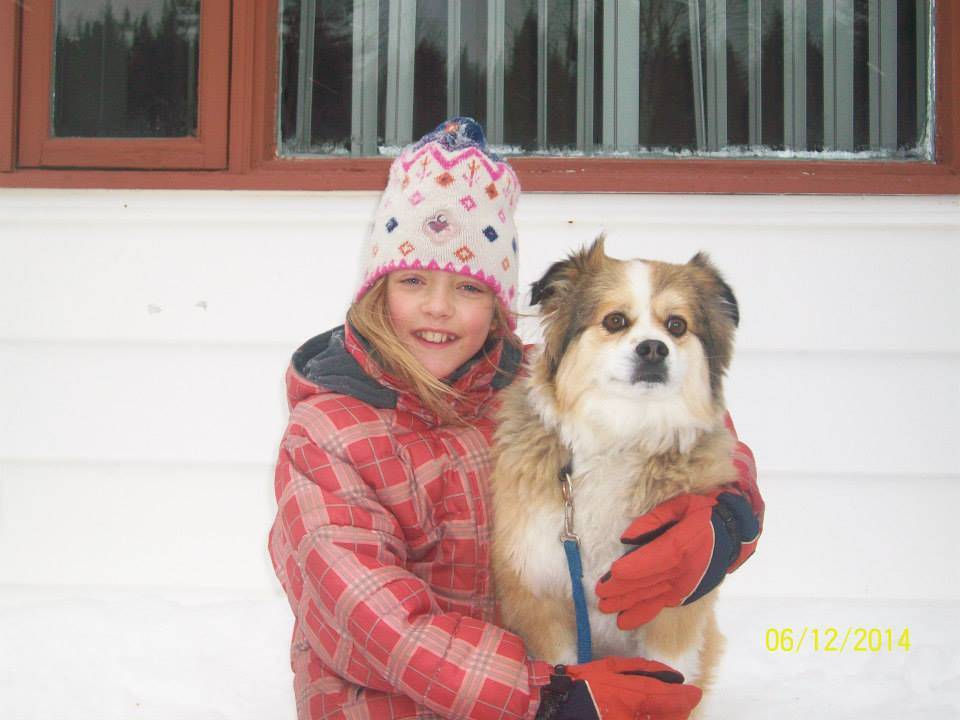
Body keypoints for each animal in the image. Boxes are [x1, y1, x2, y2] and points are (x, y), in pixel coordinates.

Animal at [490, 236, 740, 699]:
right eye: (615, 320)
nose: (653, 348)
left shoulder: (672, 604)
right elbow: (565, 666)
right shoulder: (541, 593)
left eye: (676, 325)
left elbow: (670, 674)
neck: (623, 435)